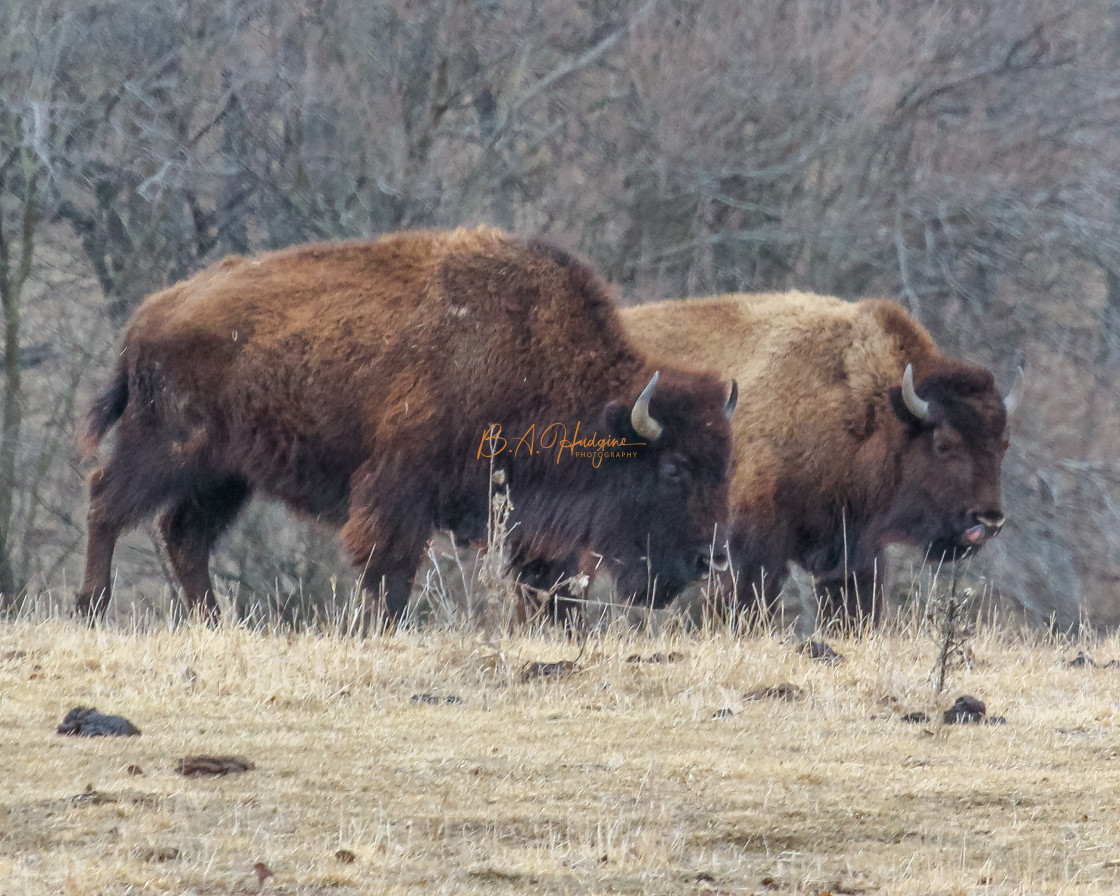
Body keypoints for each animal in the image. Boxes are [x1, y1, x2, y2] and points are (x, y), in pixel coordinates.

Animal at [76, 227, 734, 627]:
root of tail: (150, 315)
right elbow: (389, 570)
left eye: (725, 467)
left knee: (184, 534)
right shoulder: (400, 490)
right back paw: (92, 606)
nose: (709, 559)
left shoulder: (528, 522)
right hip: (167, 447)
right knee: (107, 503)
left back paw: (217, 621)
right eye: (673, 469)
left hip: (226, 475)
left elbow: (548, 584)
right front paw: (381, 627)